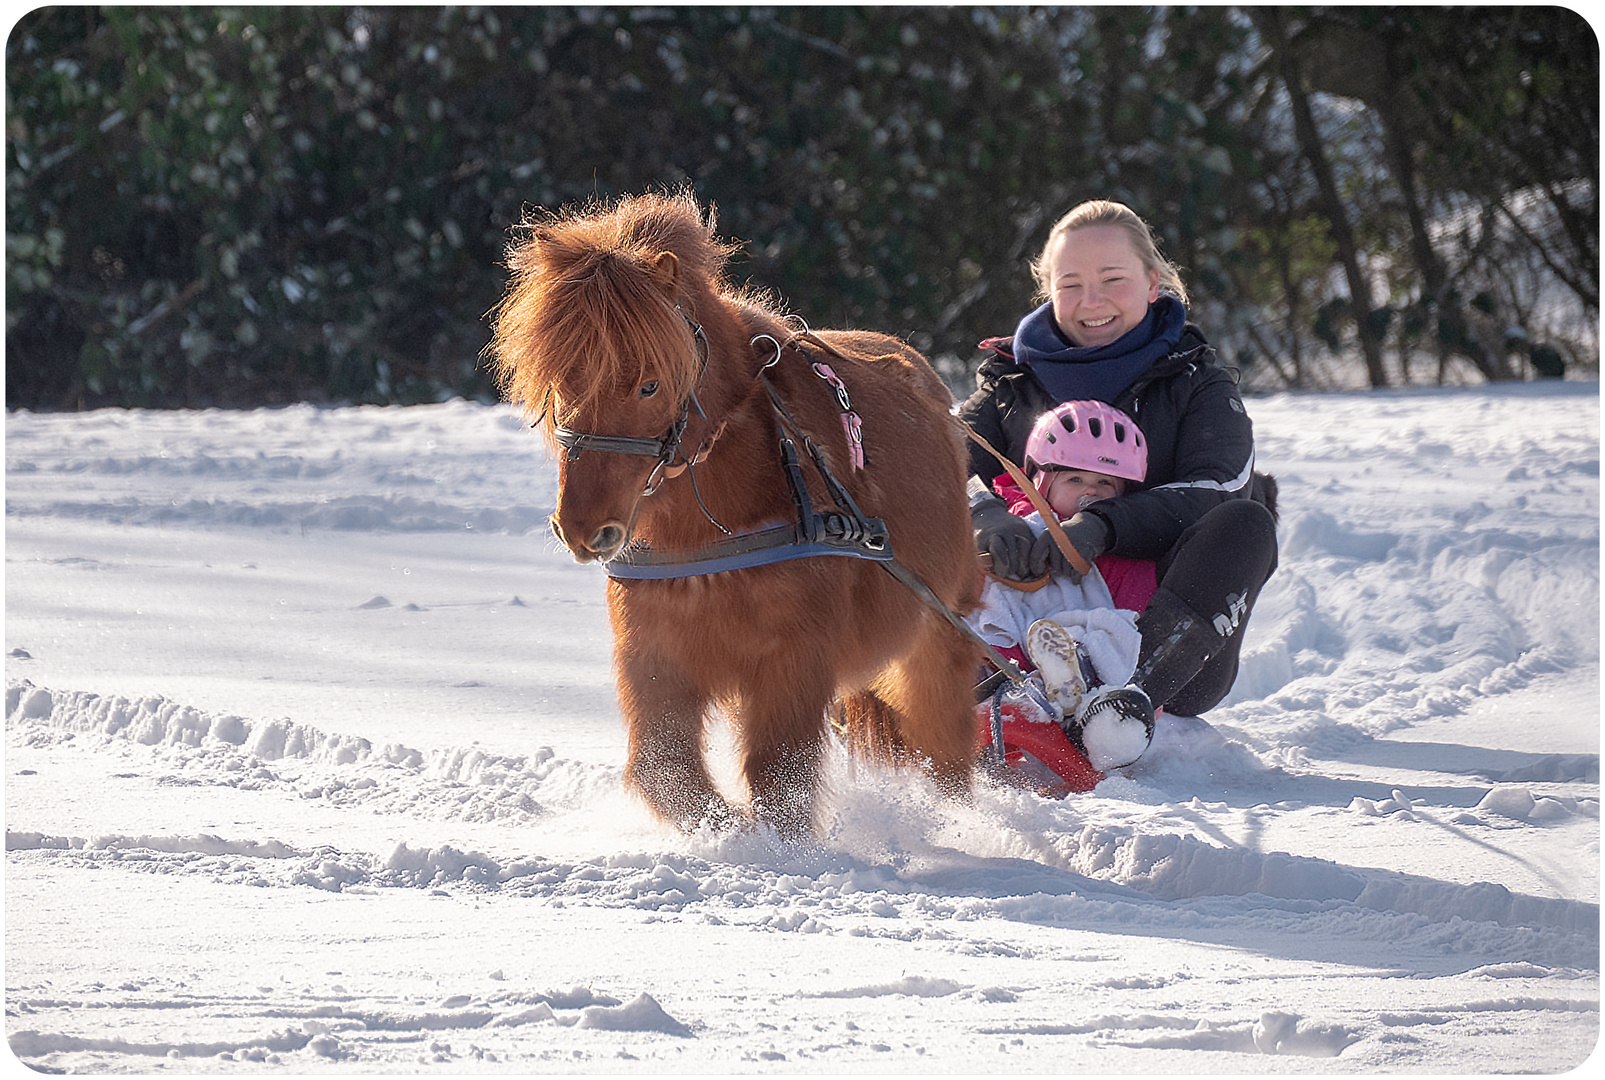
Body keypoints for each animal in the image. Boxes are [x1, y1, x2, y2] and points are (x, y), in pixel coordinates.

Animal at [481, 189, 975, 840]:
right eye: (562, 380)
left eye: (649, 385)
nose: (582, 530)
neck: (711, 527)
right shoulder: (653, 654)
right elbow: (665, 771)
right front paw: (728, 831)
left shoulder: (793, 662)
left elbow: (779, 781)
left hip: (937, 640)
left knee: (948, 750)